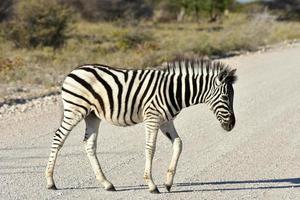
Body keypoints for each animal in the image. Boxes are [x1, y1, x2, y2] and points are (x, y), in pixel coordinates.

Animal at [45, 58, 237, 193]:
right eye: (225, 97)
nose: (232, 125)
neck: (174, 92)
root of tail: (74, 70)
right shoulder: (153, 118)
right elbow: (150, 148)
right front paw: (152, 185)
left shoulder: (166, 121)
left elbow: (178, 144)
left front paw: (168, 183)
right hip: (75, 110)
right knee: (58, 137)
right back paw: (50, 182)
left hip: (92, 116)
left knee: (89, 144)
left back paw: (107, 184)